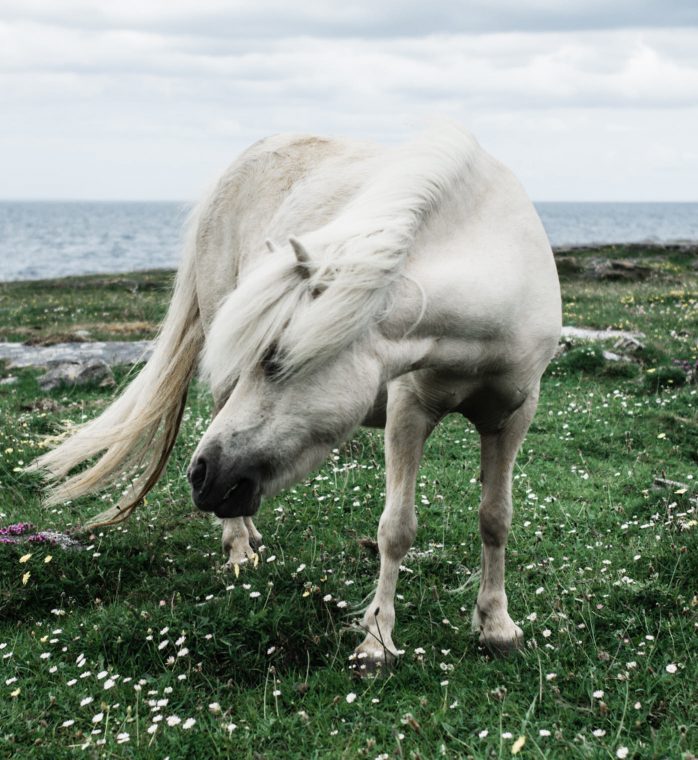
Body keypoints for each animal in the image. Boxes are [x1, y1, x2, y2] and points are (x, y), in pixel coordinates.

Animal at [32, 123, 560, 672]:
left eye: (275, 358)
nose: (201, 477)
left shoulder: (513, 417)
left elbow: (495, 519)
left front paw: (497, 626)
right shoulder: (408, 412)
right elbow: (396, 528)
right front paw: (377, 640)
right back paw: (238, 546)